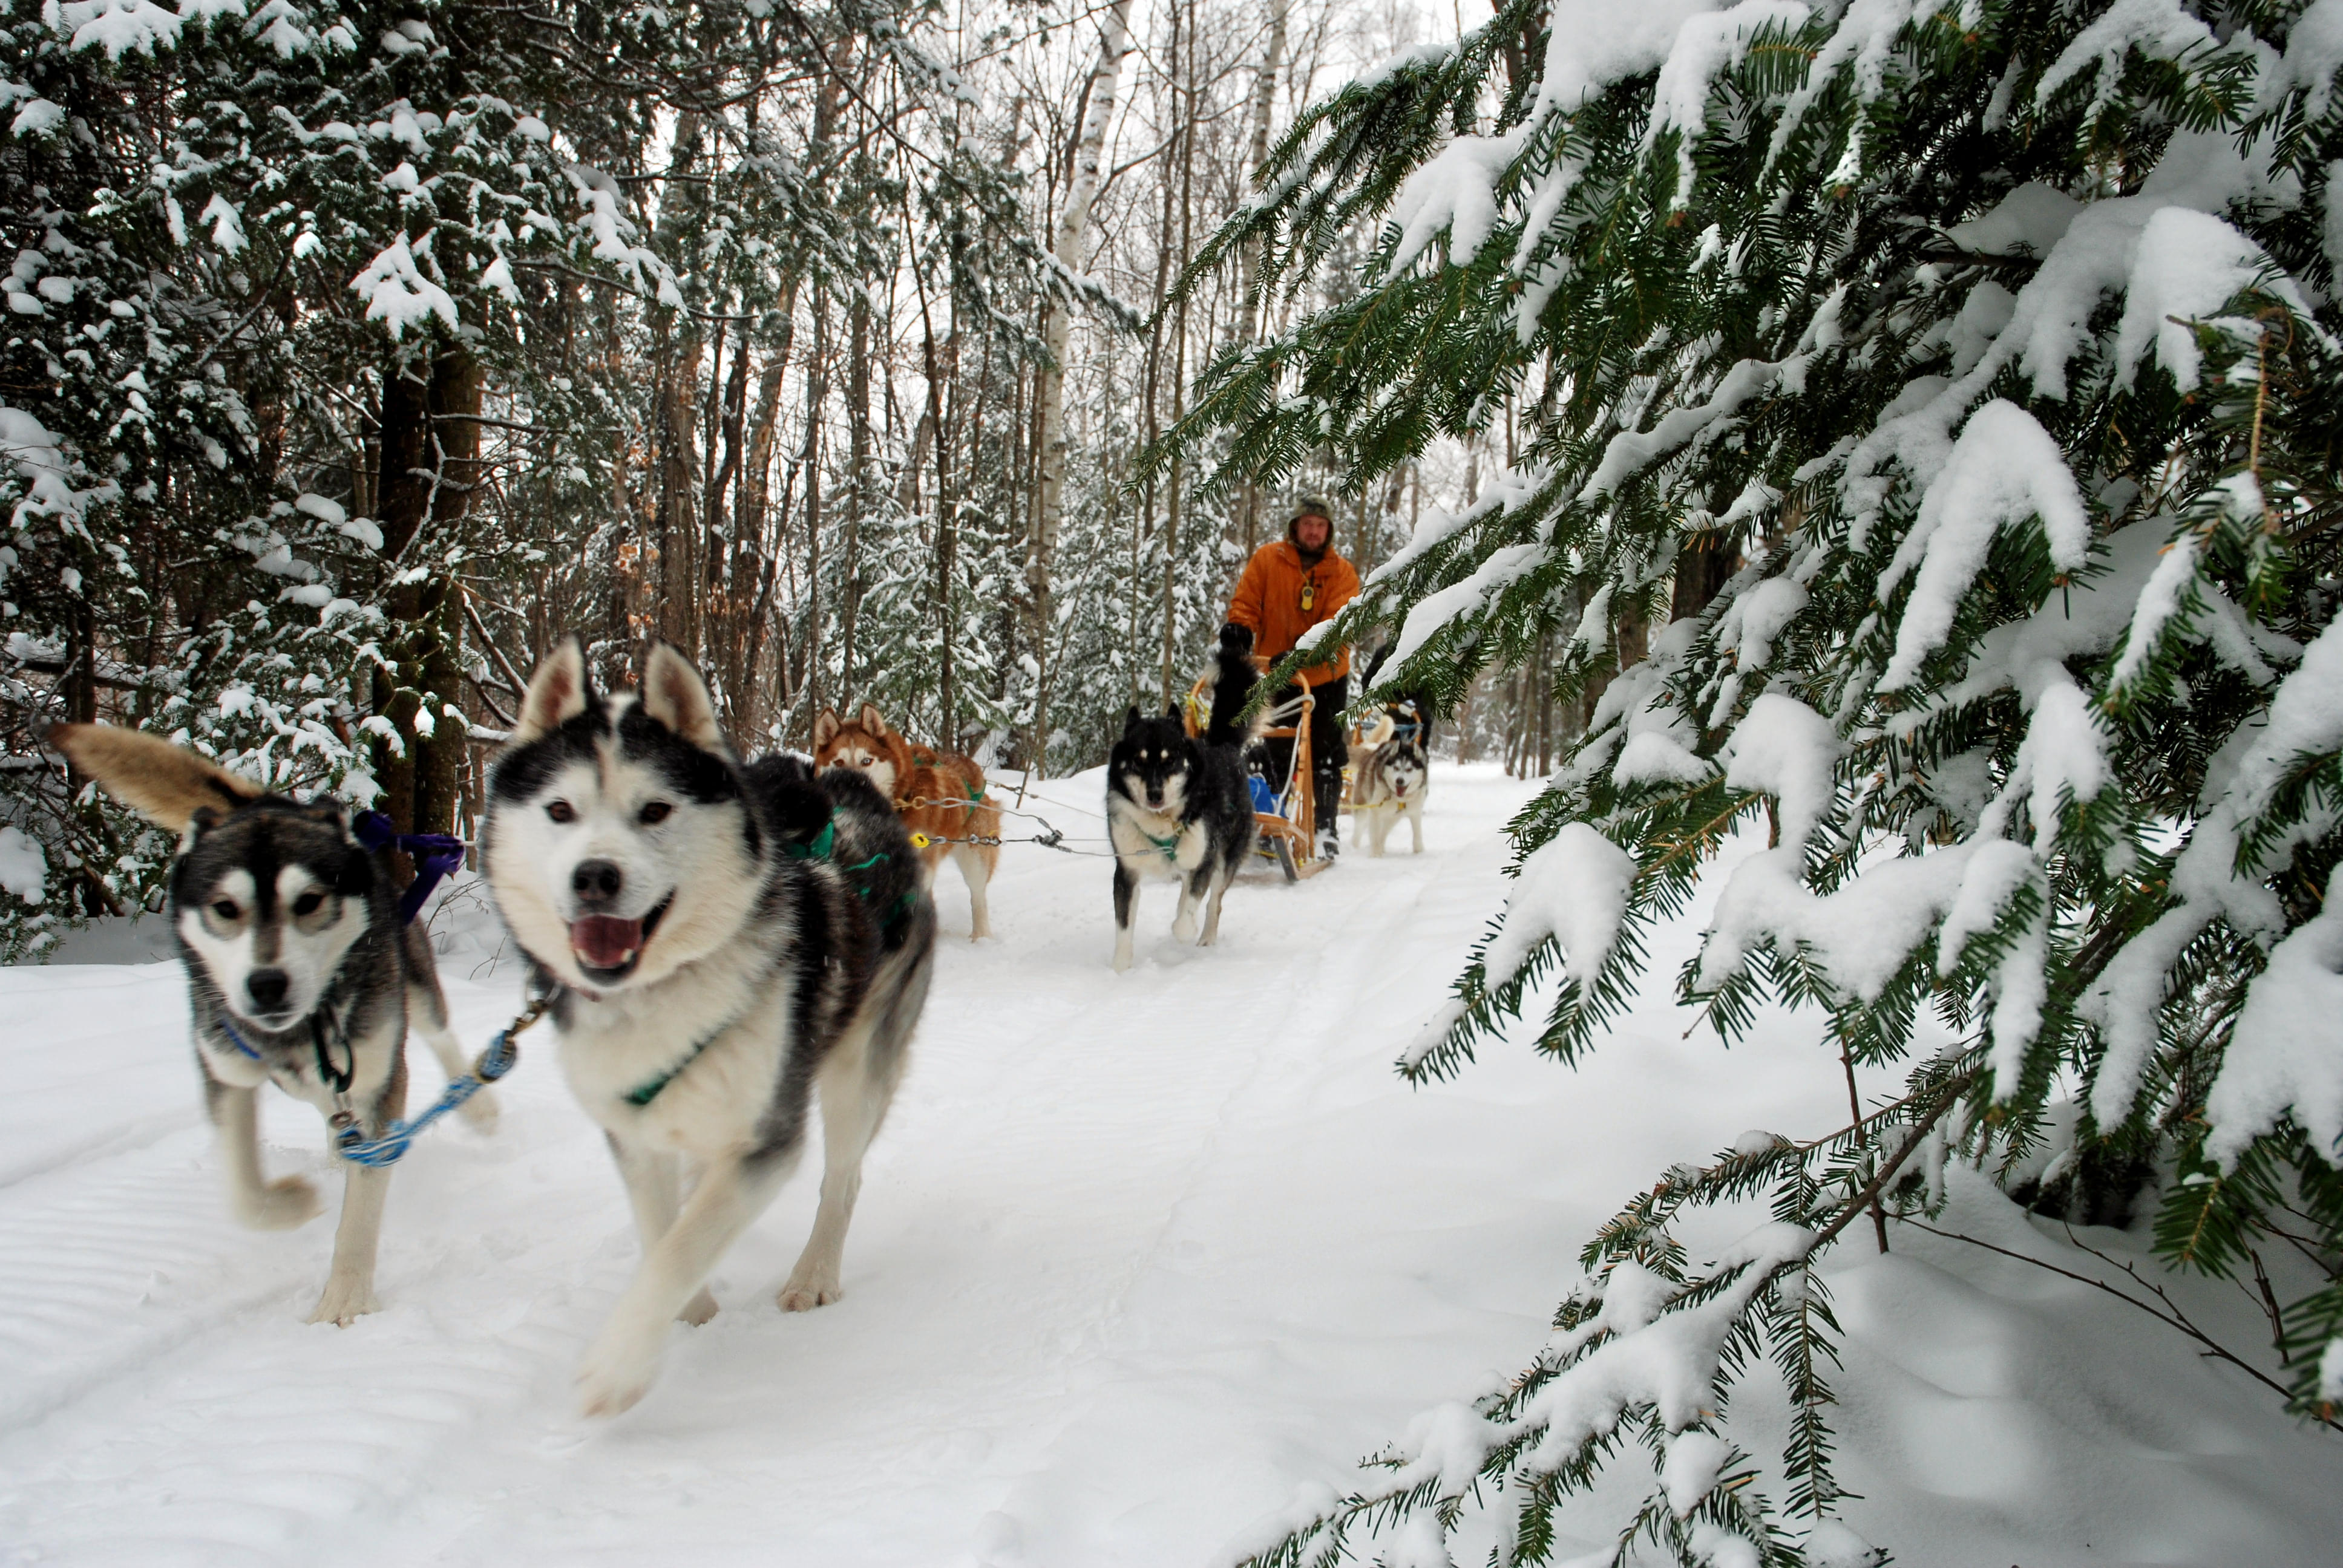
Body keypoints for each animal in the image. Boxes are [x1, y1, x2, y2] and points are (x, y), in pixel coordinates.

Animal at [44, 722, 490, 1322]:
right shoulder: (226, 1073)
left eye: (309, 901)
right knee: (328, 1104)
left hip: (412, 987)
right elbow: (241, 1189)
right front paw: (292, 1203)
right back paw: (337, 1148)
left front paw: (345, 1301)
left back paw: (481, 1109)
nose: (266, 985)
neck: (302, 1031)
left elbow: (361, 1212)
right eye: (225, 908)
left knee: (440, 1037)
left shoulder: (379, 1079)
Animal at [482, 642, 932, 1416]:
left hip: (855, 1074)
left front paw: (620, 1365)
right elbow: (660, 1230)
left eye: (656, 810)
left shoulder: (766, 1141)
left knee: (841, 1181)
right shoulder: (633, 1134)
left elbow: (682, 1248)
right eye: (560, 810)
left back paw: (813, 1274)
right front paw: (689, 1312)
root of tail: (853, 793)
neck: (661, 992)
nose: (594, 877)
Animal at [1110, 618, 1274, 965]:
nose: (1155, 795)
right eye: (1138, 761)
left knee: (1214, 902)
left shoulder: (1205, 857)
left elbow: (1188, 913)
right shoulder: (1127, 872)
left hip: (1227, 856)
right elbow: (1124, 926)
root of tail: (1223, 746)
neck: (1162, 822)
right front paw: (1120, 968)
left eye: (1170, 760)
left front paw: (1184, 930)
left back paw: (1206, 936)